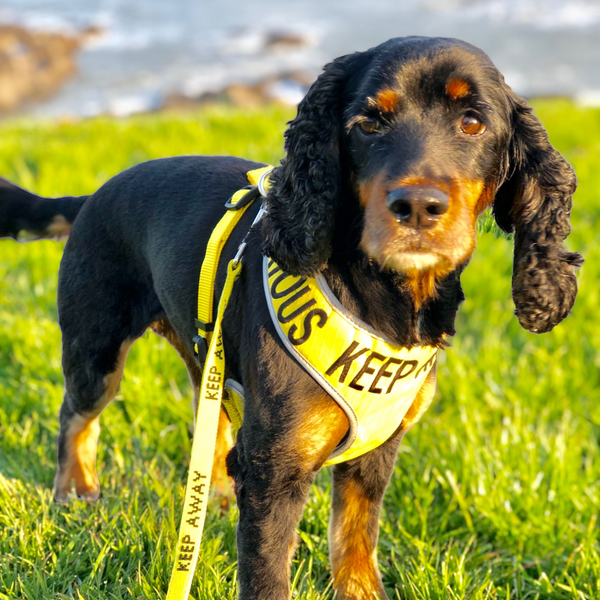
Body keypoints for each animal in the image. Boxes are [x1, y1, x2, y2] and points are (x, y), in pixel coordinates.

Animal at [0, 36, 580, 600]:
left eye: (473, 122)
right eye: (369, 123)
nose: (417, 207)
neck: (382, 302)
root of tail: (92, 194)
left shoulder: (375, 450)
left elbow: (355, 542)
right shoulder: (275, 470)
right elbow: (267, 574)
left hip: (207, 357)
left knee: (211, 427)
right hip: (96, 348)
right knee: (75, 416)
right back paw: (75, 491)